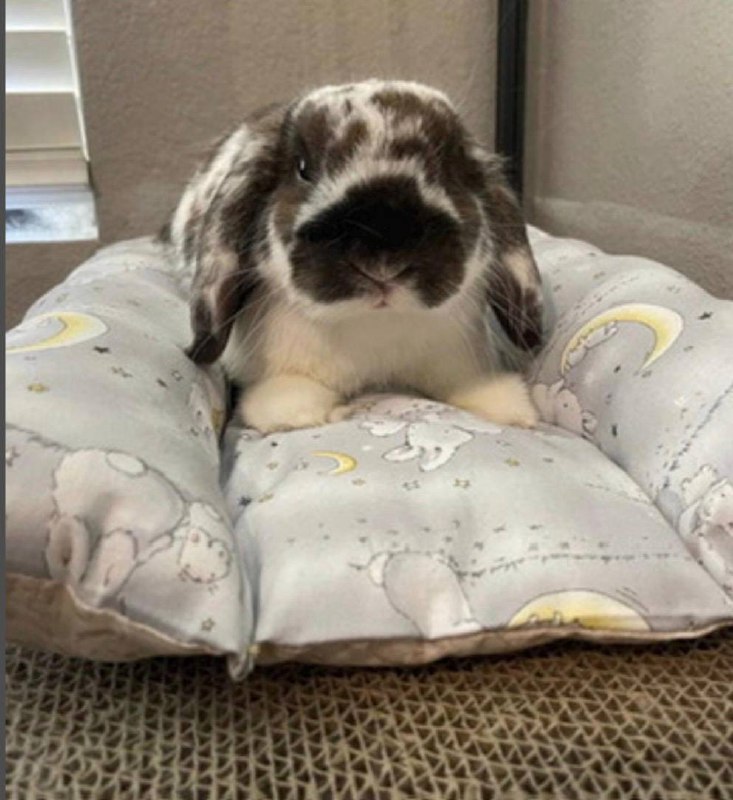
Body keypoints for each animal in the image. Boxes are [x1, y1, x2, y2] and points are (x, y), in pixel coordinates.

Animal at [162, 80, 544, 434]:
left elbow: (467, 385)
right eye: (303, 168)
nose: (383, 261)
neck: (373, 326)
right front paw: (305, 415)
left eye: (447, 168)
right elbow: (289, 397)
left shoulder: (455, 360)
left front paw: (510, 410)